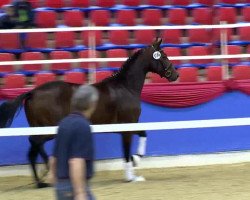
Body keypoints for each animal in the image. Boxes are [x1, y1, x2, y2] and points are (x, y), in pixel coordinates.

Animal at [0, 38, 178, 188]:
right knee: (35, 146)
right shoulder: (127, 127)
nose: (175, 75)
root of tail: (33, 92)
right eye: (163, 55)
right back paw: (45, 175)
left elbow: (143, 135)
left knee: (34, 148)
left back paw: (42, 179)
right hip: (48, 129)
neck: (126, 87)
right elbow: (128, 151)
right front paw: (131, 173)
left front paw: (135, 166)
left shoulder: (128, 126)